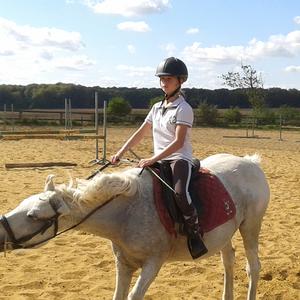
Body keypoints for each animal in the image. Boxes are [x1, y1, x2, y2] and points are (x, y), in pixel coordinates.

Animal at [0, 154, 270, 298]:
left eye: (33, 216)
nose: (1, 233)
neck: (126, 213)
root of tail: (250, 163)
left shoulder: (153, 264)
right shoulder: (124, 264)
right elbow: (118, 295)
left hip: (250, 228)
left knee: (253, 267)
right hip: (225, 233)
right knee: (228, 261)